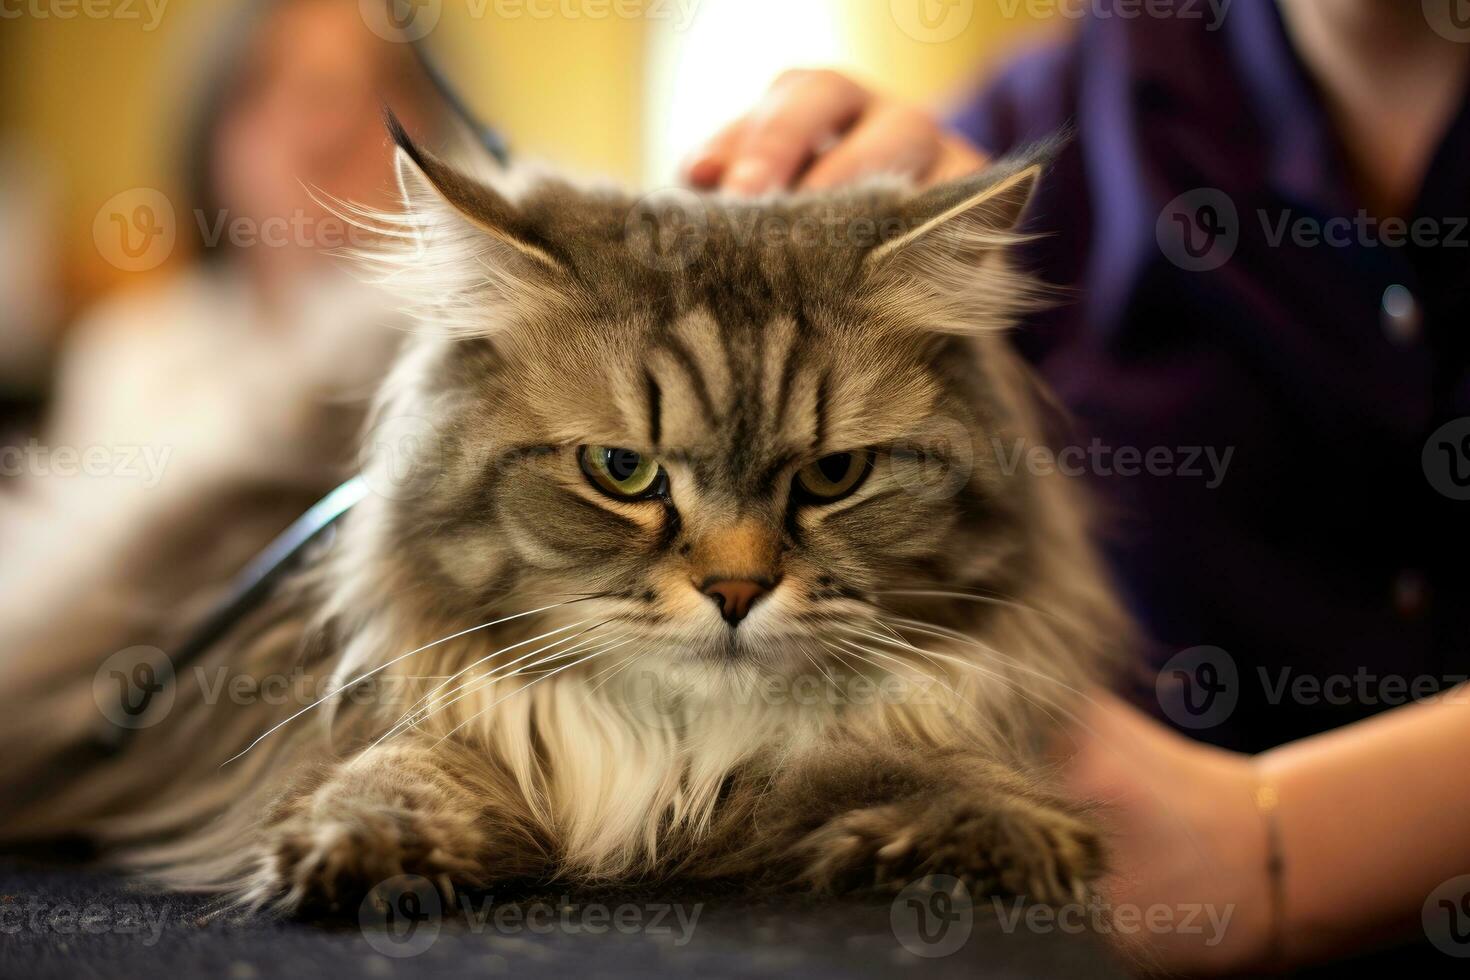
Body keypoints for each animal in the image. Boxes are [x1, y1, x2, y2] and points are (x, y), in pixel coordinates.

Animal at [0, 119, 1123, 916]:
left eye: (834, 475)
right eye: (622, 471)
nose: (736, 591)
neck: (675, 741)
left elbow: (924, 757)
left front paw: (1005, 831)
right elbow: (408, 762)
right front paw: (363, 840)